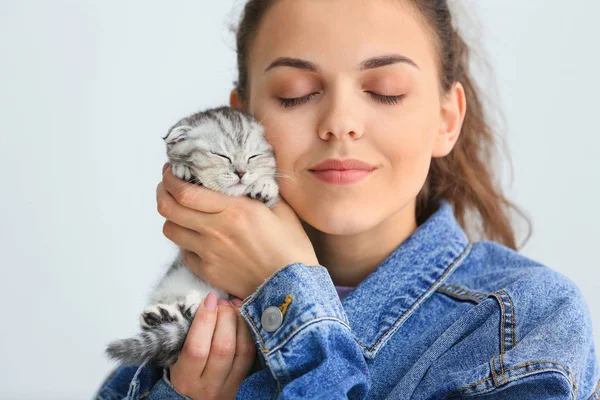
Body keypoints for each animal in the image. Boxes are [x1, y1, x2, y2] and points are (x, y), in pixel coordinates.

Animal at [105, 105, 278, 366]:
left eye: (253, 156)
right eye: (221, 155)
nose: (241, 172)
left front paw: (266, 186)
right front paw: (183, 169)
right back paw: (166, 314)